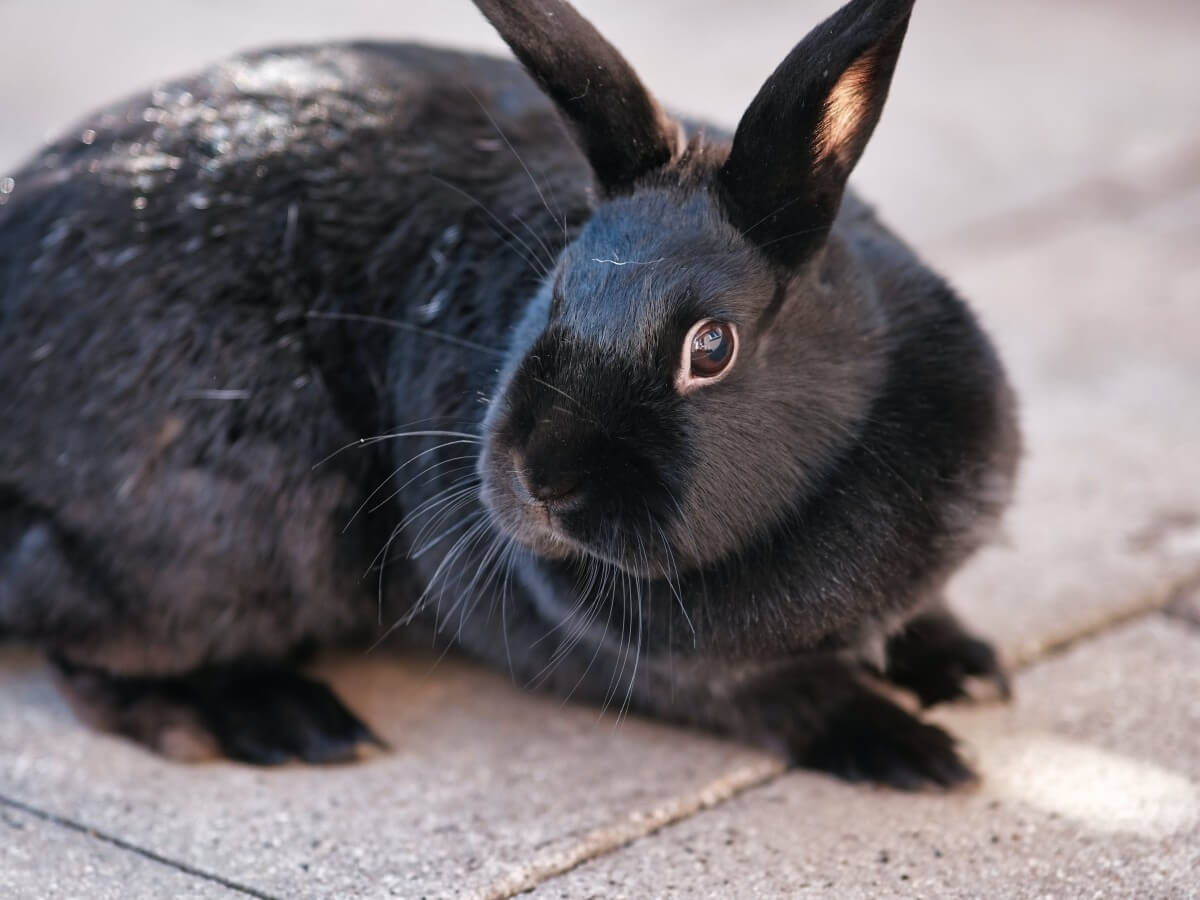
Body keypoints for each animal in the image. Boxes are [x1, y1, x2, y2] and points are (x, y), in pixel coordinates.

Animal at [0, 0, 1017, 787]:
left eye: (711, 346)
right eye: (555, 291)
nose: (541, 484)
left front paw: (973, 672)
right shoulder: (685, 675)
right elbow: (794, 698)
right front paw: (918, 754)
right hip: (226, 536)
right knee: (86, 643)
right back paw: (278, 723)